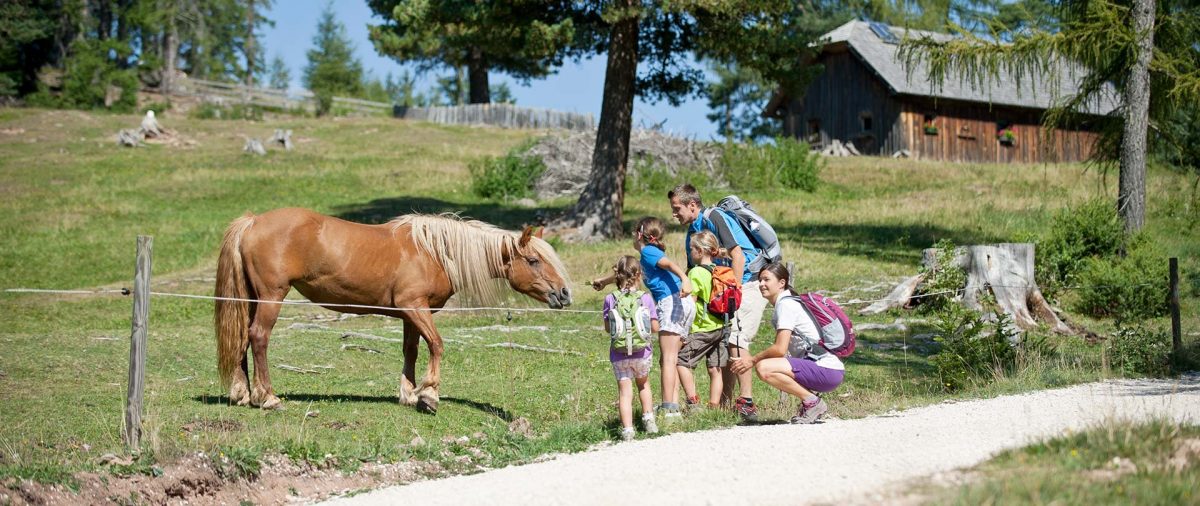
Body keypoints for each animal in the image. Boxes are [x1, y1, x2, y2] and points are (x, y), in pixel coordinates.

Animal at [214, 207, 571, 412]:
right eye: (534, 260)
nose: (564, 294)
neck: (434, 252)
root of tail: (253, 222)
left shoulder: (411, 315)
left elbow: (411, 350)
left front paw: (409, 394)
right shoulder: (415, 308)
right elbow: (437, 345)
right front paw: (429, 396)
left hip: (252, 299)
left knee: (243, 339)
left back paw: (242, 393)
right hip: (271, 297)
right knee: (259, 337)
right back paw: (268, 398)